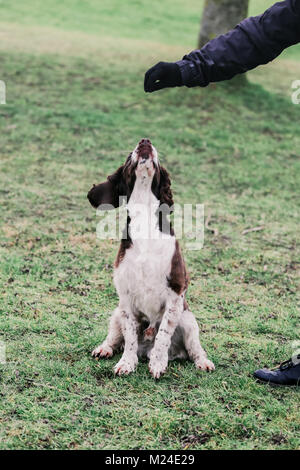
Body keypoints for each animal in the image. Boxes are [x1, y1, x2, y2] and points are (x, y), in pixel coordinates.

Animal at [85, 139, 214, 378]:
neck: (144, 217)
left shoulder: (176, 292)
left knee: (194, 349)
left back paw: (202, 361)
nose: (145, 141)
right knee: (116, 337)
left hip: (188, 320)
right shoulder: (125, 297)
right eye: (129, 156)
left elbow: (163, 334)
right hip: (116, 312)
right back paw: (104, 349)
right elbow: (129, 337)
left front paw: (157, 363)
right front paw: (126, 363)